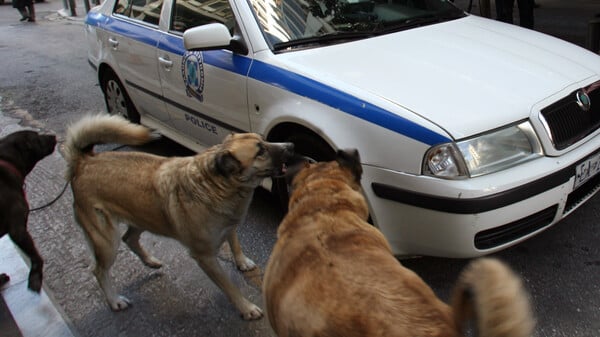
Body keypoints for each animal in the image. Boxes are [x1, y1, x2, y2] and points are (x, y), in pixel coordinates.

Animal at [64, 114, 294, 318]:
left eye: (263, 139)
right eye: (260, 151)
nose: (291, 145)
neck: (217, 184)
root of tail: (83, 162)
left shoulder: (230, 223)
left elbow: (234, 241)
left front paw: (242, 261)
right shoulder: (205, 257)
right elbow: (229, 286)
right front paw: (245, 308)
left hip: (143, 216)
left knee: (129, 238)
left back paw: (150, 261)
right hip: (106, 240)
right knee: (99, 270)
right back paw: (114, 300)